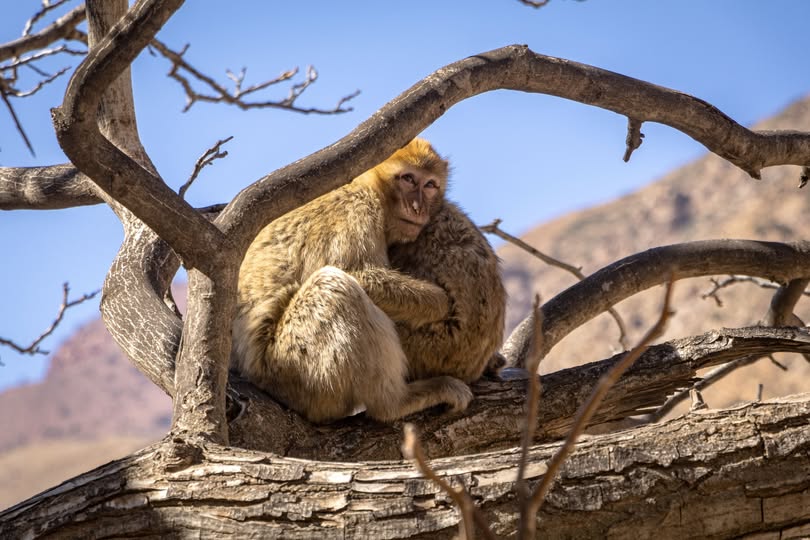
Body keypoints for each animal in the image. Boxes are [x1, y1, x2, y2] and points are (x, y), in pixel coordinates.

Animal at [231, 138, 473, 423]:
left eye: (430, 185)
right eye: (408, 179)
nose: (418, 208)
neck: (367, 186)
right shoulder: (357, 210)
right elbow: (355, 273)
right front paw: (440, 303)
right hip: (293, 368)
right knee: (335, 286)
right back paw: (395, 403)